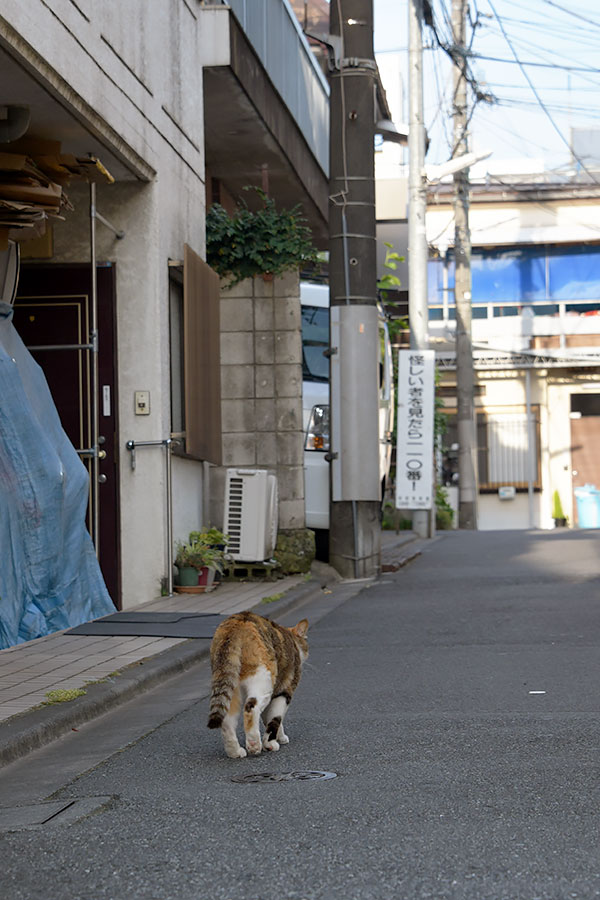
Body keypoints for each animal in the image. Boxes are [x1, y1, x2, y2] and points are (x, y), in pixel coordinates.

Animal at [207, 612, 310, 760]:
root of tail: (237, 622)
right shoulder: (284, 690)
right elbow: (276, 717)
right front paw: (270, 743)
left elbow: (268, 717)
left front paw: (280, 737)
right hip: (263, 677)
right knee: (251, 707)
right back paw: (254, 743)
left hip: (230, 684)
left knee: (227, 718)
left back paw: (235, 751)